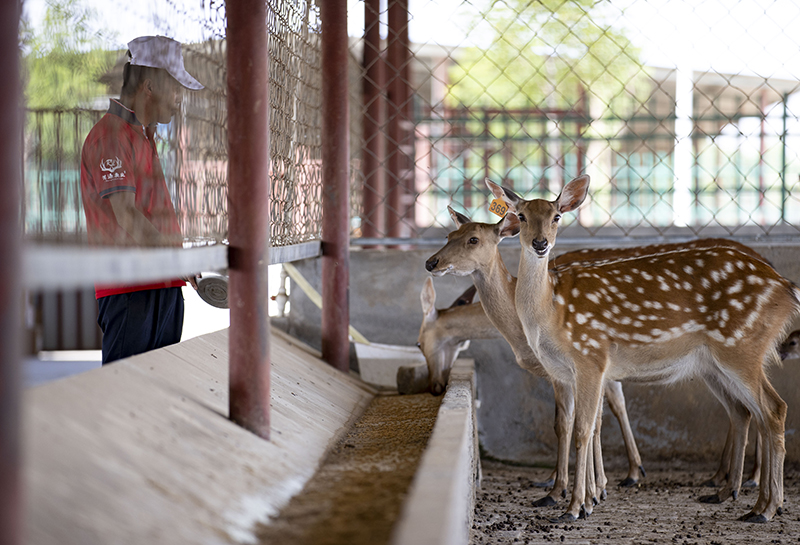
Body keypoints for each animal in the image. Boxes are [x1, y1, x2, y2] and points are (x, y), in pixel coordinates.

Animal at [490, 175, 796, 524]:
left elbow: (583, 430)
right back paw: (751, 502)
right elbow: (582, 426)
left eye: (556, 216)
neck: (550, 312)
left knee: (773, 408)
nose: (540, 244)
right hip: (722, 360)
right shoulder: (570, 372)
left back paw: (766, 507)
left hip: (741, 346)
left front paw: (575, 507)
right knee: (751, 412)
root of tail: (787, 290)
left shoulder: (590, 356)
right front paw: (587, 498)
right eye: (522, 216)